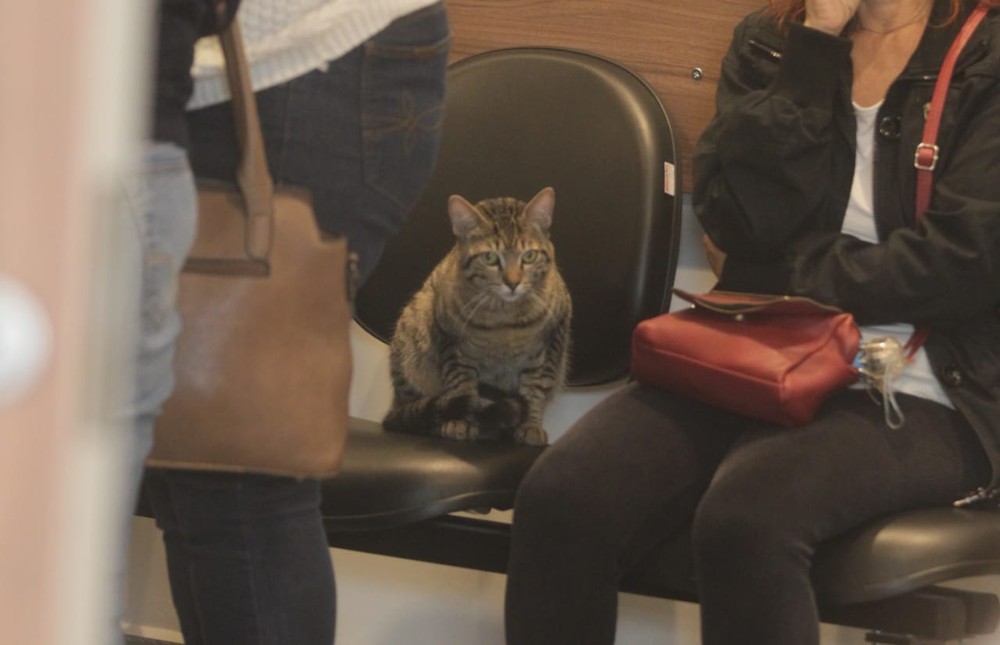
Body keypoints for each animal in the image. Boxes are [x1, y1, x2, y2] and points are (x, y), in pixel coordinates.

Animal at [382, 186, 572, 446]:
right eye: (490, 257)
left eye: (529, 256)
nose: (513, 283)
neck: (505, 322)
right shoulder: (451, 342)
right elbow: (461, 385)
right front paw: (461, 422)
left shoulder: (554, 339)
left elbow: (535, 389)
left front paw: (530, 425)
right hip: (412, 336)